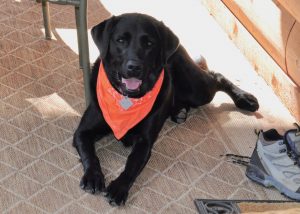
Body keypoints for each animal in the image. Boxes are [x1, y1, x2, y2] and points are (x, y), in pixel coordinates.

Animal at [72, 12, 258, 206]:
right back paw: (179, 111)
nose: (134, 67)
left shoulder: (145, 142)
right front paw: (93, 176)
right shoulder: (82, 132)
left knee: (216, 76)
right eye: (121, 40)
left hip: (198, 90)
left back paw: (245, 99)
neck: (128, 99)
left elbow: (132, 164)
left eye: (149, 44)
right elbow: (90, 154)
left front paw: (119, 187)